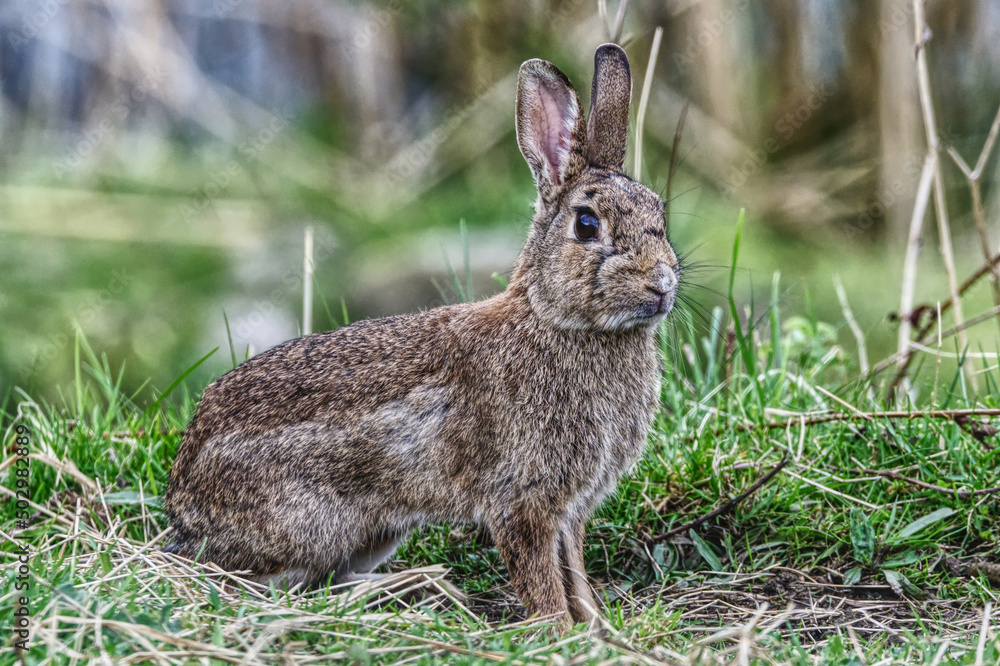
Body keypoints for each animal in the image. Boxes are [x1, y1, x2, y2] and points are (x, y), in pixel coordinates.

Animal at [164, 43, 679, 629]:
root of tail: (184, 510)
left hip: (374, 533)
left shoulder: (570, 509)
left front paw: (597, 626)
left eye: (660, 215)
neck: (557, 320)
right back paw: (426, 585)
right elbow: (541, 577)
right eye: (587, 225)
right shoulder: (522, 500)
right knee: (271, 587)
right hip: (310, 526)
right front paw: (558, 630)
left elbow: (574, 571)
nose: (662, 284)